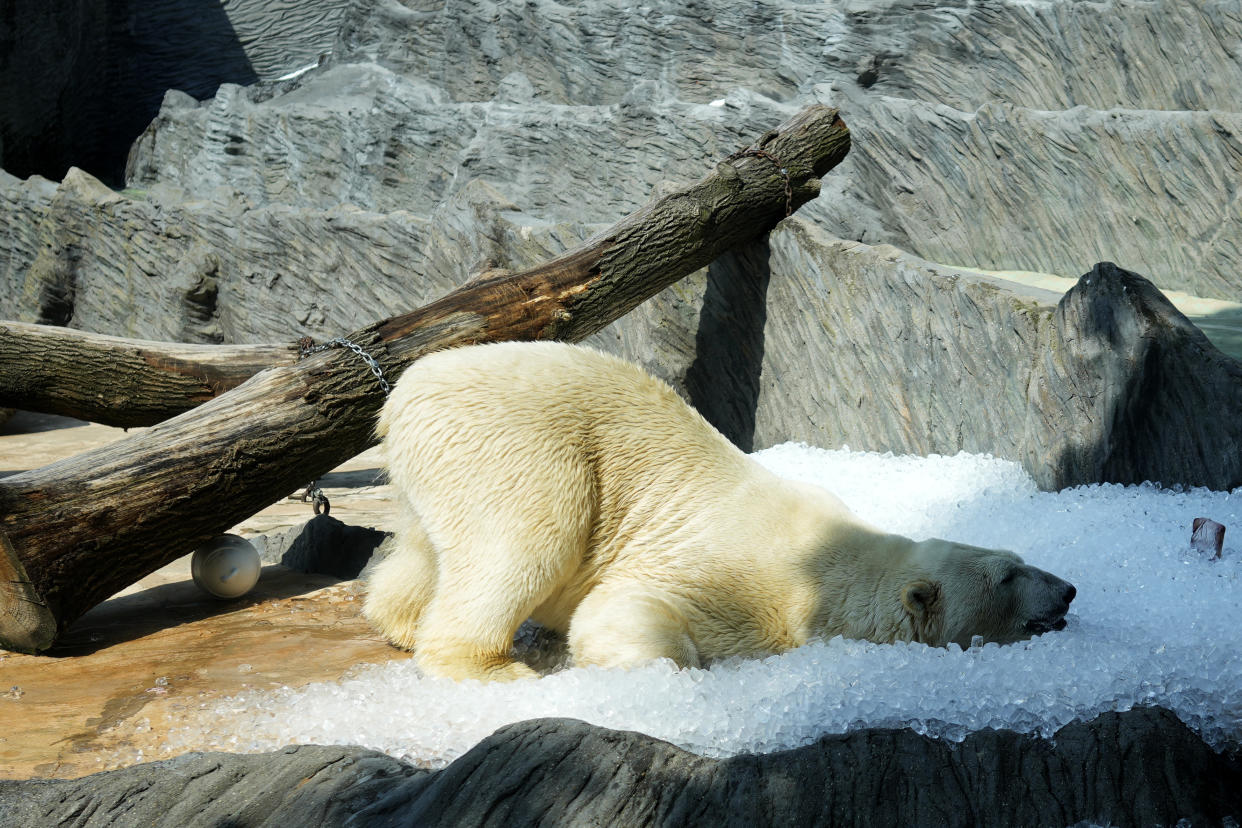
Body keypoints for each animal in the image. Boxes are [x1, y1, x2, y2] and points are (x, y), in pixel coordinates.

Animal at [362, 340, 1073, 685]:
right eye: (1008, 577)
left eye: (1022, 559)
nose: (1068, 589)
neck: (830, 565)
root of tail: (404, 392)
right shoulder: (745, 582)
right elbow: (624, 607)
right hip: (519, 442)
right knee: (527, 541)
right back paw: (491, 666)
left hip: (442, 463)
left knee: (433, 547)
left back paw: (402, 623)